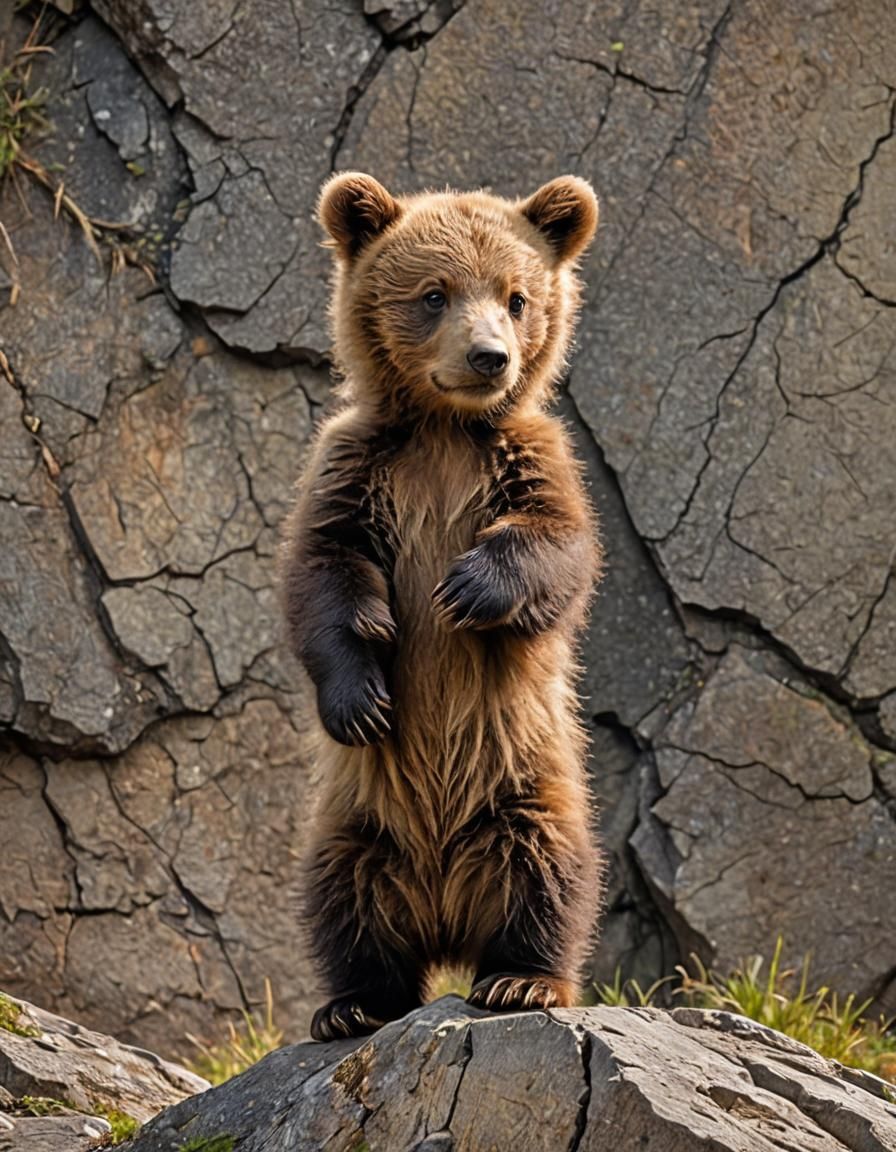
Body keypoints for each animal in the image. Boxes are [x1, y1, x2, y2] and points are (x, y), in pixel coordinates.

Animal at [281, 171, 605, 1041]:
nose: (489, 356)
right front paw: (359, 700)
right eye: (434, 293)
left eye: (517, 297)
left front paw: (466, 588)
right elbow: (322, 576)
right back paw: (353, 1003)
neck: (443, 429)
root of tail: (447, 913)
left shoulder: (527, 459)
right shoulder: (357, 467)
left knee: (552, 875)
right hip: (358, 818)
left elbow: (561, 546)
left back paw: (521, 980)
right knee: (342, 894)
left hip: (523, 786)